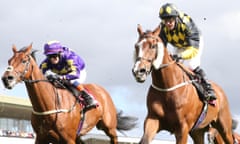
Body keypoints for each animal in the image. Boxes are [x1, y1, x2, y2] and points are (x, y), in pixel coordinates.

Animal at [1, 44, 137, 144]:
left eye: (24, 61)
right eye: (9, 60)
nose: (6, 78)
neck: (48, 106)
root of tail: (102, 91)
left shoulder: (68, 139)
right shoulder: (41, 138)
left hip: (109, 127)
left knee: (114, 138)